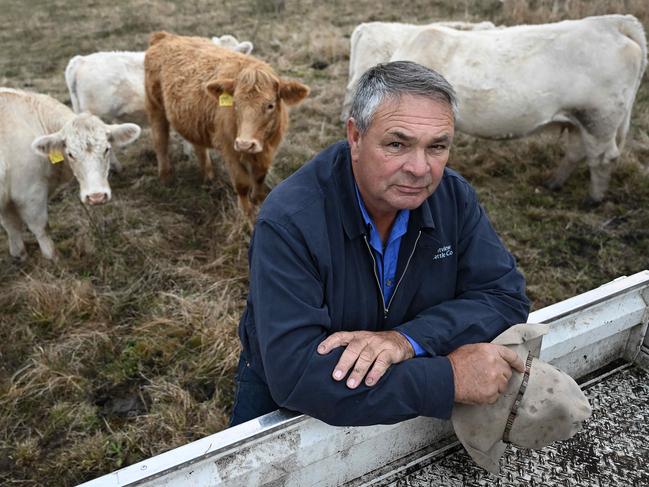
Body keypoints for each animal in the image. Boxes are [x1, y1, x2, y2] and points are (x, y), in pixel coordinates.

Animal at [0, 89, 140, 262]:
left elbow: (11, 225)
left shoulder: (7, 199)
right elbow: (40, 227)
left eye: (107, 149)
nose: (97, 196)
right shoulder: (28, 192)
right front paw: (53, 257)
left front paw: (19, 254)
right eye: (70, 154)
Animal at [144, 31, 308, 218]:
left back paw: (208, 177)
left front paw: (258, 201)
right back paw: (166, 178)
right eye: (235, 103)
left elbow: (259, 179)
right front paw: (246, 216)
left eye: (270, 105)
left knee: (198, 147)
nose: (245, 144)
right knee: (160, 141)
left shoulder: (268, 149)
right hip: (155, 106)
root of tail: (166, 36)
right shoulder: (229, 147)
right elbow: (242, 184)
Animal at [388, 14, 644, 202]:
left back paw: (594, 199)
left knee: (603, 157)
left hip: (599, 118)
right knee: (577, 150)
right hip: (580, 119)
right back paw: (553, 183)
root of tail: (611, 23)